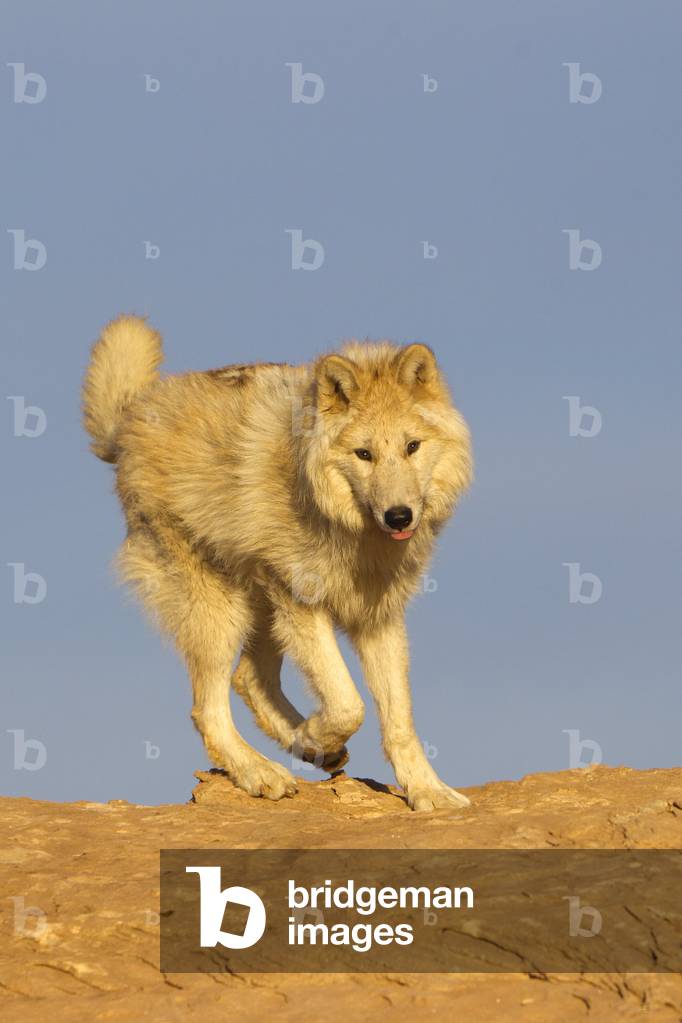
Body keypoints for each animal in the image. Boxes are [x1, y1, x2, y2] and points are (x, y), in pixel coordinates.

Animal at [82, 316, 473, 810]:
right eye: (364, 454)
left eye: (412, 447)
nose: (399, 516)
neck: (351, 531)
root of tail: (132, 417)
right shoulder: (302, 603)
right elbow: (349, 704)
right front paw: (316, 735)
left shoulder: (377, 619)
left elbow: (398, 721)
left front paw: (429, 792)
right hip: (223, 612)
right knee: (208, 708)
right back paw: (262, 771)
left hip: (260, 610)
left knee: (246, 680)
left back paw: (309, 752)